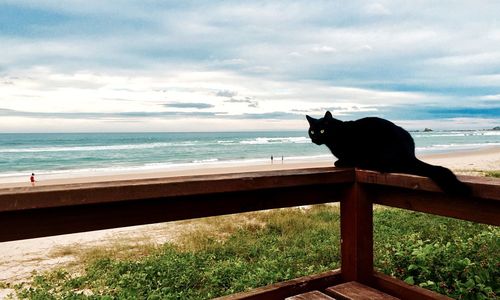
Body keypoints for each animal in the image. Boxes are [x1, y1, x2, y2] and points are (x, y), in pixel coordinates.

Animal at [306, 111, 470, 196]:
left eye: (322, 130)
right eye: (312, 131)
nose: (315, 139)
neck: (336, 134)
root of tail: (410, 154)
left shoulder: (351, 151)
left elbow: (346, 158)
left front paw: (340, 162)